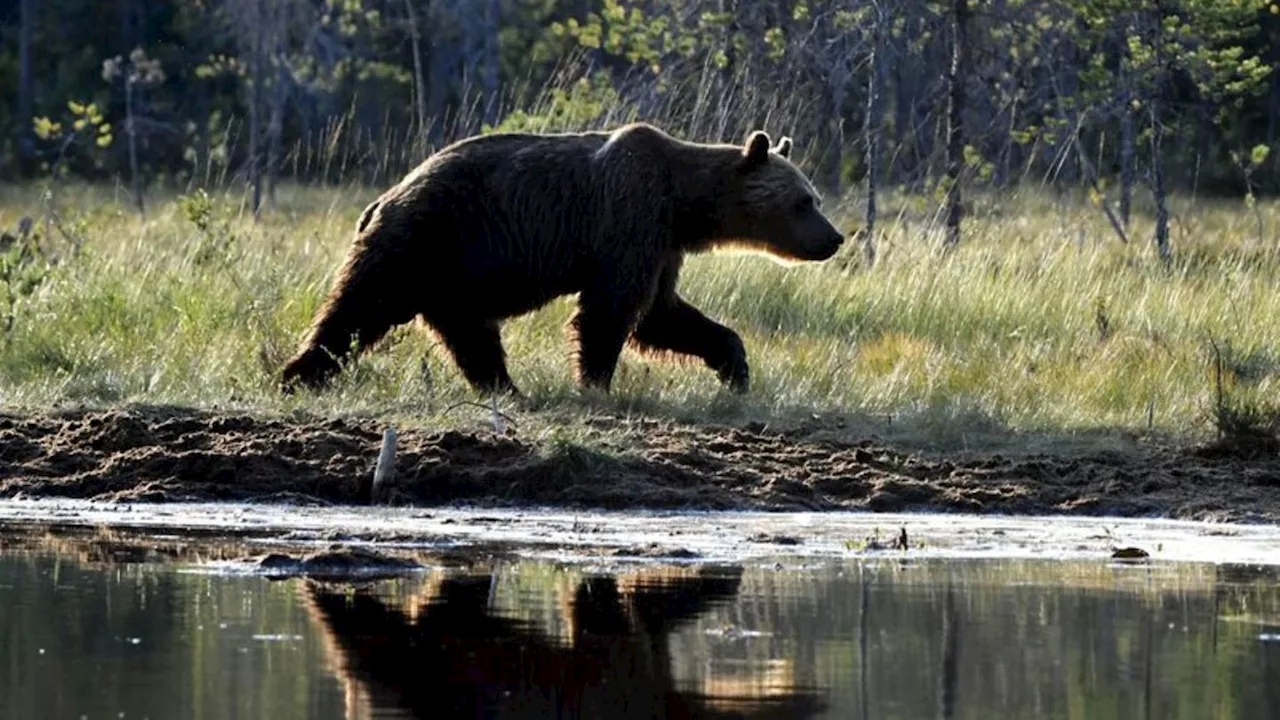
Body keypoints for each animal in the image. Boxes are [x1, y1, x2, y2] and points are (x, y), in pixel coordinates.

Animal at [280, 120, 844, 394]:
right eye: (805, 201)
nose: (834, 238)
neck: (684, 205)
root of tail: (382, 198)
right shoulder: (628, 218)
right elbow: (613, 310)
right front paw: (595, 382)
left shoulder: (662, 244)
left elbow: (663, 313)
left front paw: (735, 369)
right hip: (423, 239)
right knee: (358, 306)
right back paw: (298, 373)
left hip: (452, 274)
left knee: (470, 332)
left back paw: (506, 388)